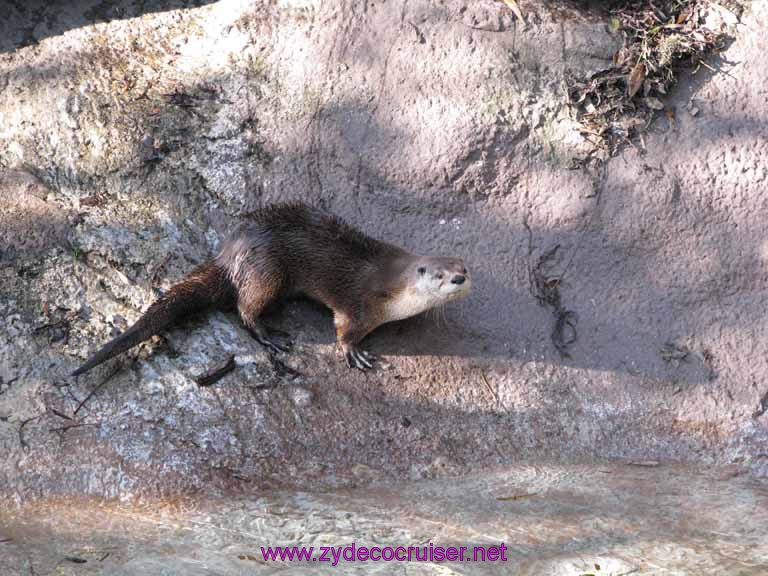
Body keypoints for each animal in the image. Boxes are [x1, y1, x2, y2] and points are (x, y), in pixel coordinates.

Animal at [70, 200, 468, 376]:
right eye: (440, 275)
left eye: (464, 267)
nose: (462, 279)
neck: (394, 284)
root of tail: (229, 253)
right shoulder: (358, 304)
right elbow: (343, 329)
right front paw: (354, 352)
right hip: (265, 273)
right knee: (244, 309)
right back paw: (271, 336)